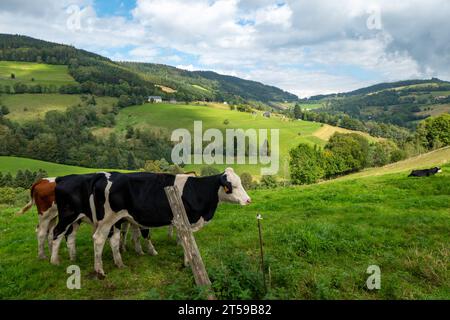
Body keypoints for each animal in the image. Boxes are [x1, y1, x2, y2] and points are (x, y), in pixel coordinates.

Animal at [85, 169, 250, 276]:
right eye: (232, 186)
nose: (248, 200)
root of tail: (104, 176)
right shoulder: (185, 222)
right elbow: (186, 243)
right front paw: (188, 264)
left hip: (117, 220)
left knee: (114, 239)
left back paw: (119, 263)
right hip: (107, 219)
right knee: (98, 239)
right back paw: (99, 271)